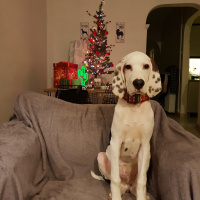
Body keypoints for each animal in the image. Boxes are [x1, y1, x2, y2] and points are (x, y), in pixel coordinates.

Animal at [92, 50, 161, 199]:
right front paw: (116, 196)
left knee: (136, 184)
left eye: (146, 66)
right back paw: (115, 193)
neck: (134, 105)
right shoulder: (116, 142)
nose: (138, 83)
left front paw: (142, 197)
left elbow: (142, 181)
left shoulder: (145, 146)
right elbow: (115, 179)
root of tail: (128, 186)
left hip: (148, 156)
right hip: (101, 156)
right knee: (115, 181)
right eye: (128, 66)